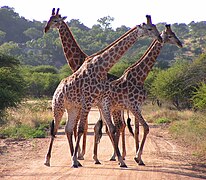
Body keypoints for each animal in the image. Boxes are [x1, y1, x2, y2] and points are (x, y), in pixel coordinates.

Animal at [43, 13, 163, 168]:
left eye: (154, 27)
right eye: (149, 28)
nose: (160, 37)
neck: (100, 66)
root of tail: (57, 90)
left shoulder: (98, 103)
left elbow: (103, 128)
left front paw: (116, 159)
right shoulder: (88, 101)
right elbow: (84, 128)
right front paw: (79, 158)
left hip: (74, 108)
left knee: (70, 128)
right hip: (58, 107)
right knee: (56, 129)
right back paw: (48, 160)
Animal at [93, 24, 182, 166]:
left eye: (174, 33)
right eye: (169, 35)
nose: (180, 43)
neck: (140, 77)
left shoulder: (138, 106)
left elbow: (138, 129)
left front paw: (139, 158)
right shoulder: (133, 106)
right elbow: (146, 127)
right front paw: (137, 157)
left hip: (107, 109)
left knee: (106, 128)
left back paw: (103, 158)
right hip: (108, 109)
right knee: (109, 128)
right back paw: (112, 158)